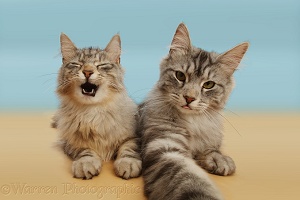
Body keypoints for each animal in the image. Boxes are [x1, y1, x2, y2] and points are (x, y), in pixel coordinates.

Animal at [52, 32, 142, 180]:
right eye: (77, 64)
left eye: (101, 65)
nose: (87, 72)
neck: (93, 111)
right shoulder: (70, 141)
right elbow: (84, 150)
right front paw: (86, 163)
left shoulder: (134, 136)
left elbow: (128, 148)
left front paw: (127, 163)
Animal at [138, 23, 248, 198]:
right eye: (180, 76)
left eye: (209, 85)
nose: (189, 98)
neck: (193, 123)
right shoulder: (166, 147)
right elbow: (190, 179)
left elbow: (212, 149)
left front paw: (218, 159)